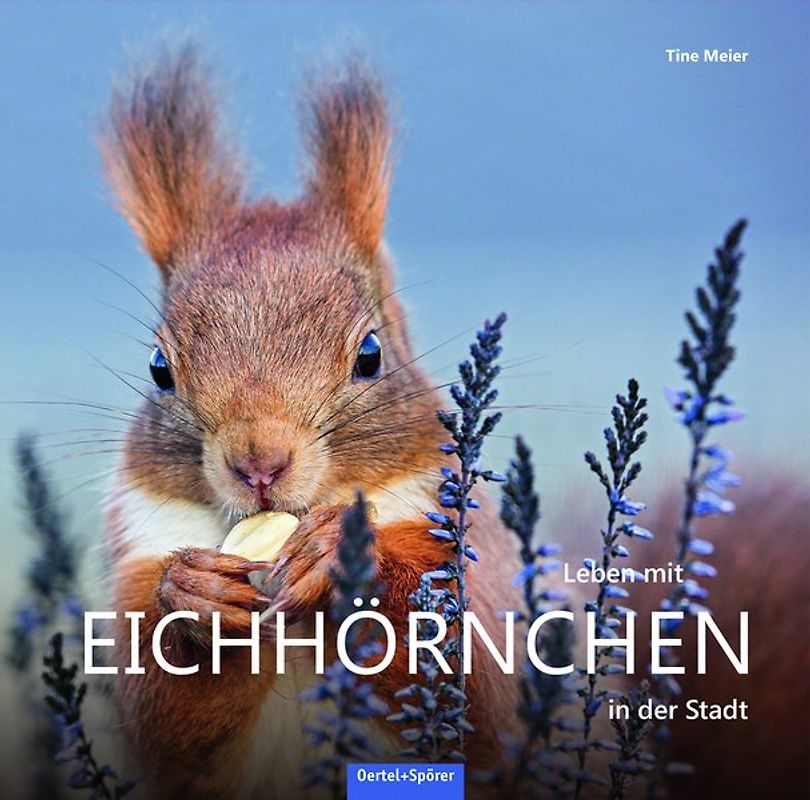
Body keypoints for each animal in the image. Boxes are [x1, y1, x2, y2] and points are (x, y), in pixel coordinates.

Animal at [101, 44, 519, 799]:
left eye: (371, 354)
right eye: (158, 367)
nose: (259, 463)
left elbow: (478, 691)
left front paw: (342, 555)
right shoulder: (140, 555)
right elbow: (165, 721)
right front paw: (193, 597)